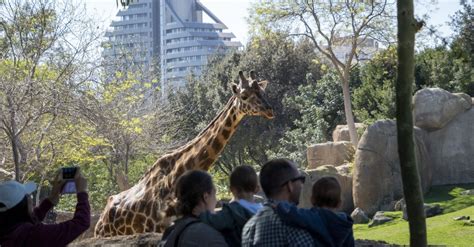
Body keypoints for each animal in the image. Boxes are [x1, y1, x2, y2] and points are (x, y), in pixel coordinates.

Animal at [94, 70, 274, 236]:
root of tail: (99, 222)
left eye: (263, 92)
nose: (269, 109)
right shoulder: (158, 229)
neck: (176, 176)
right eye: (244, 96)